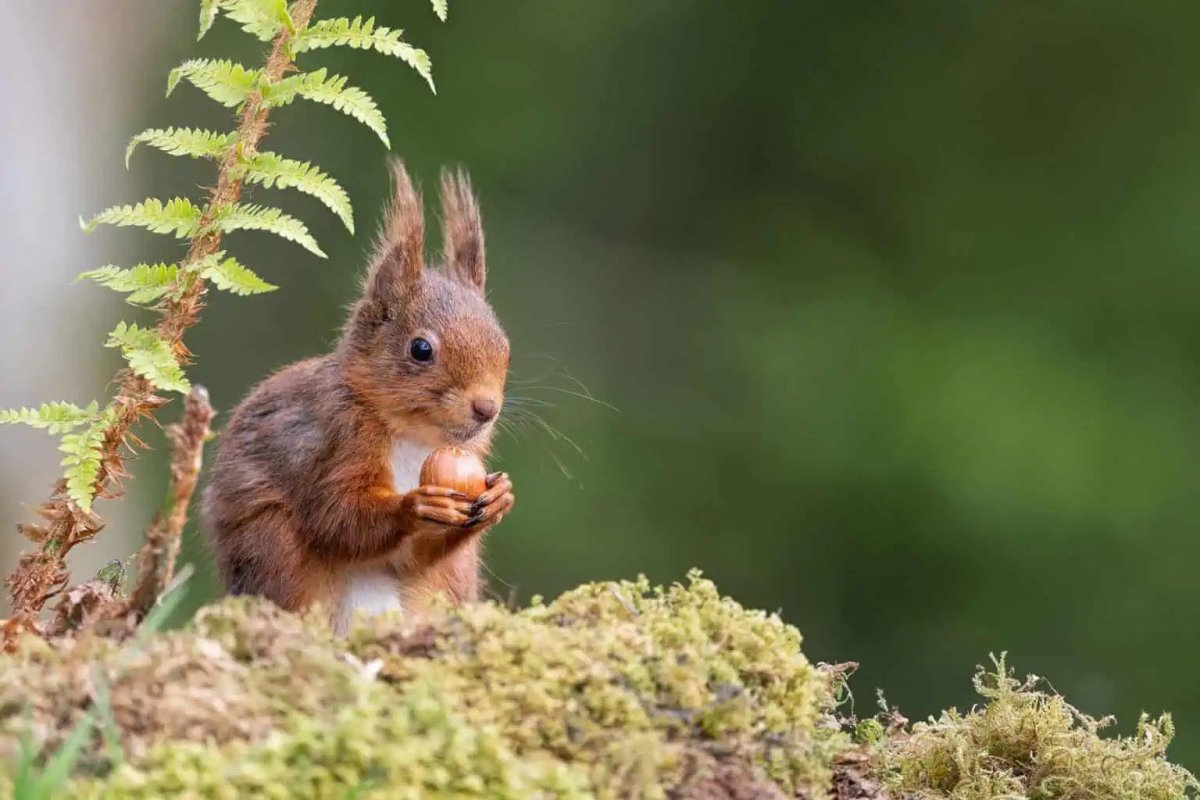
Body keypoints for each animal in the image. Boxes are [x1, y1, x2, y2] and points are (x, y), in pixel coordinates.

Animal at [202, 160, 514, 633]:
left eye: (505, 345)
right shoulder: (334, 438)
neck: (414, 435)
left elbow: (413, 558)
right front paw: (414, 507)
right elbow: (334, 517)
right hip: (273, 546)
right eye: (421, 349)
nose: (486, 409)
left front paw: (500, 498)